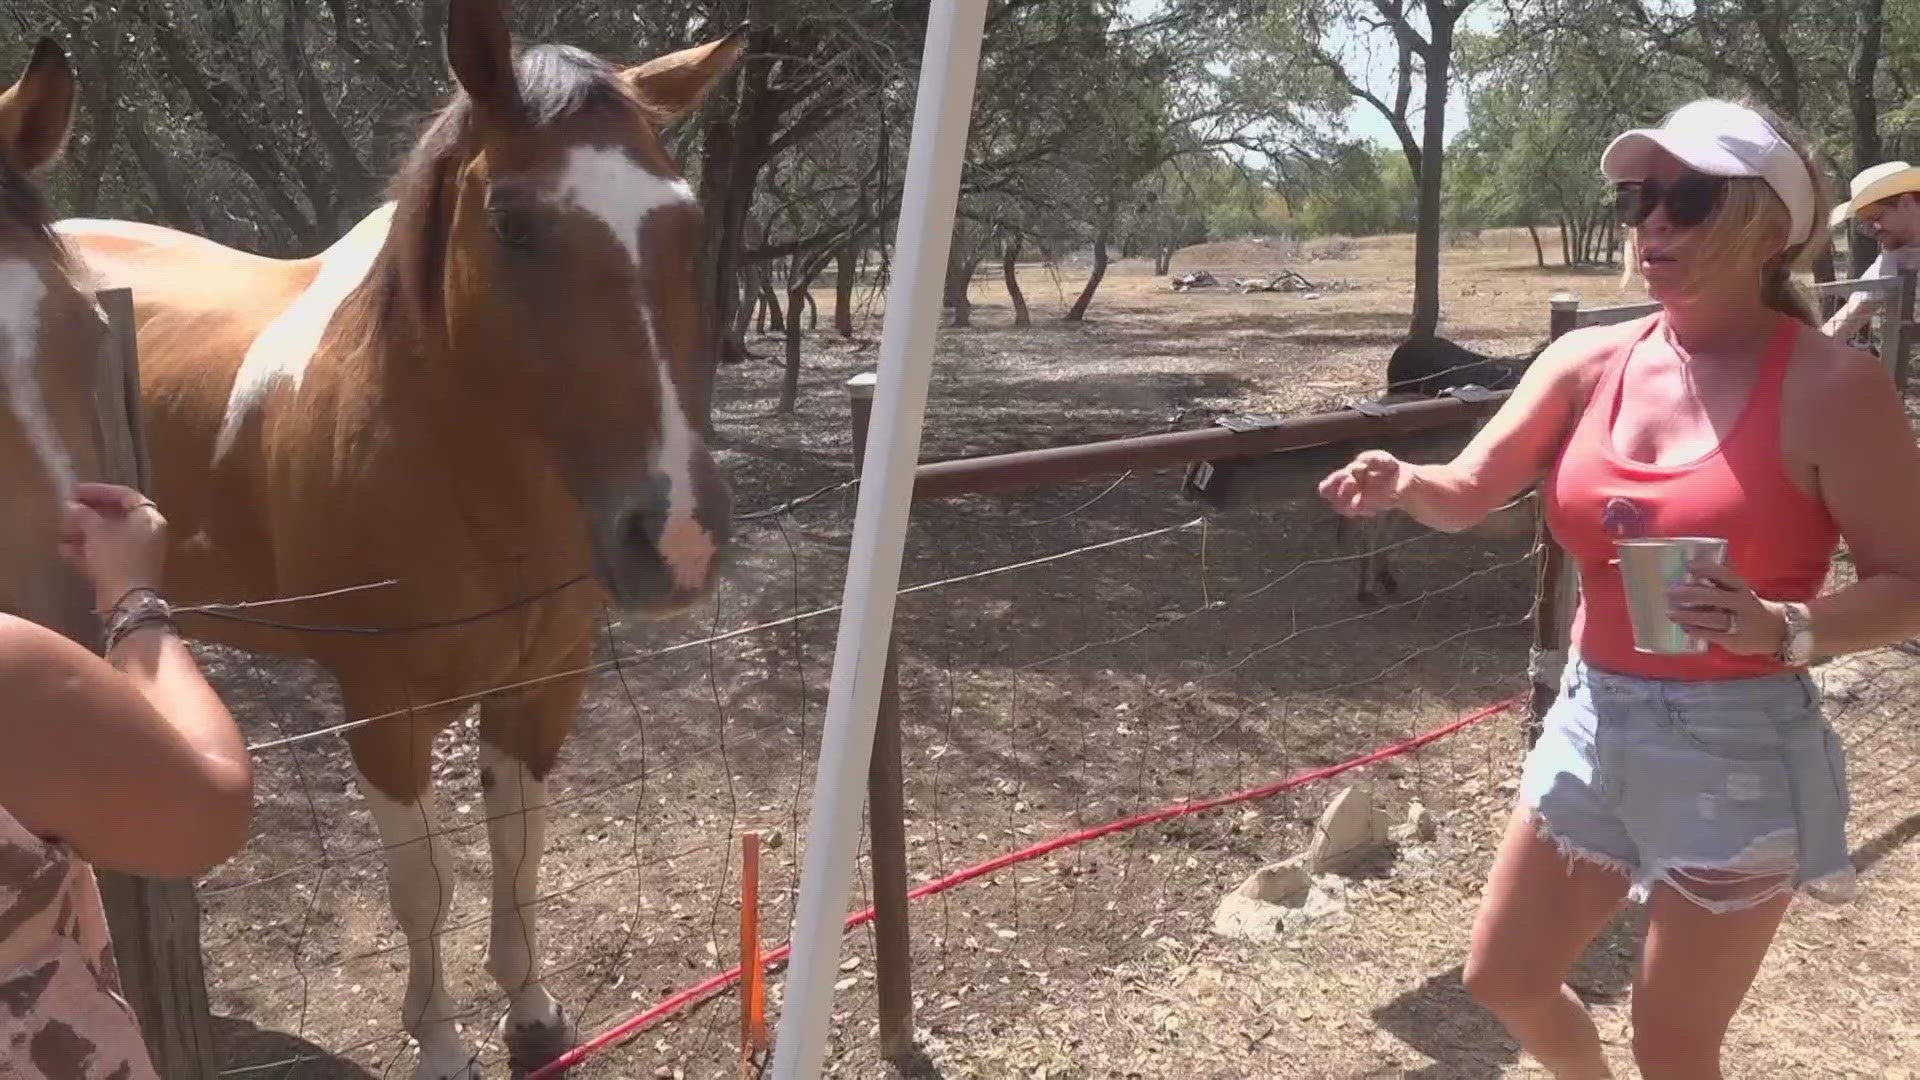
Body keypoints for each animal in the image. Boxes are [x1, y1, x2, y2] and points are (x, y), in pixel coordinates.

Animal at [52, 4, 741, 1068]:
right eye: (512, 223)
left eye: (687, 223)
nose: (680, 538)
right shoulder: (382, 709)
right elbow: (426, 883)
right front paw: (443, 1044)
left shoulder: (544, 685)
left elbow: (519, 853)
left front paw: (532, 1014)